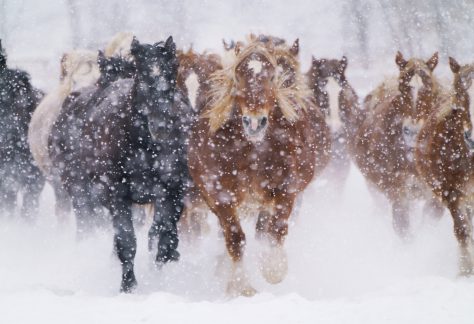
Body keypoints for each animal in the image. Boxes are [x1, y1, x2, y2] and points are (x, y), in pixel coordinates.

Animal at [50, 36, 194, 292]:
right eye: (143, 75)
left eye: (172, 71)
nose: (161, 126)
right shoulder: (115, 194)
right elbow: (127, 241)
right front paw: (129, 285)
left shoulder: (172, 190)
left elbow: (163, 234)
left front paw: (163, 269)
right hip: (79, 189)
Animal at [188, 34, 330, 296]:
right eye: (238, 76)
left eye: (272, 76)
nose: (255, 122)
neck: (253, 150)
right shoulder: (220, 196)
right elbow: (235, 238)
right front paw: (241, 286)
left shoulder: (286, 189)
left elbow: (276, 230)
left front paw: (273, 269)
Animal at [350, 52, 446, 237]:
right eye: (403, 89)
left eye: (429, 88)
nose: (412, 131)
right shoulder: (398, 192)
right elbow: (404, 229)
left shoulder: (436, 198)